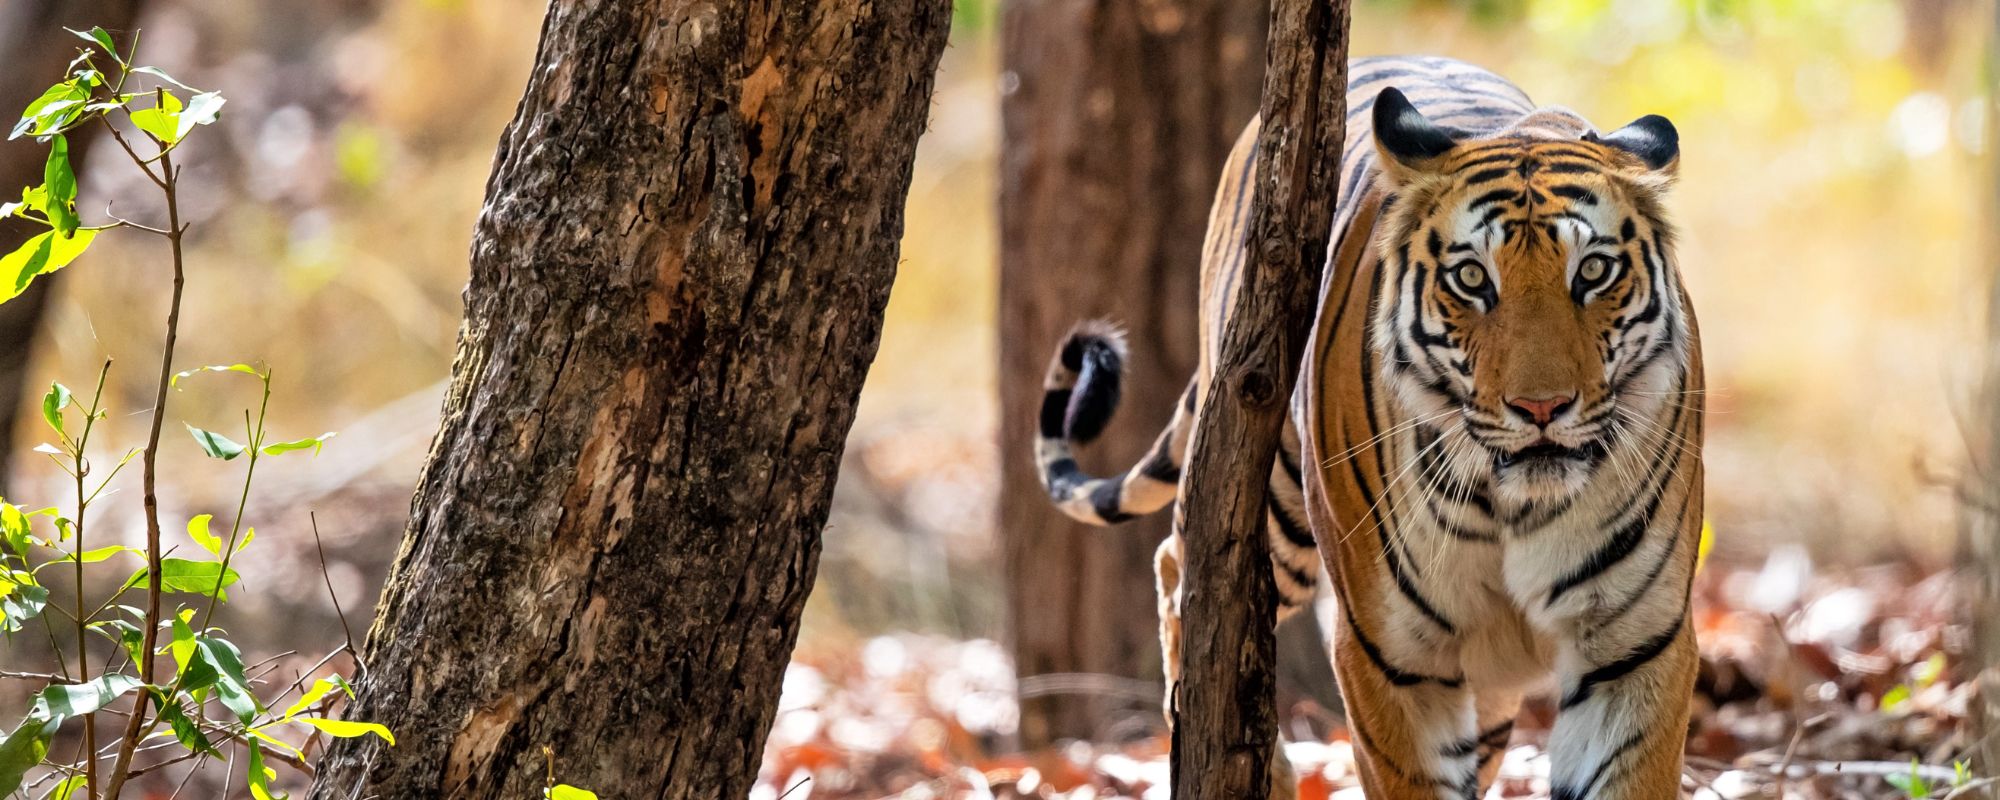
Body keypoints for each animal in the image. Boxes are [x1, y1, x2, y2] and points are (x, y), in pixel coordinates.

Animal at [1034, 55, 1702, 799]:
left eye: (1594, 271)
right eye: (1472, 279)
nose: (1541, 408)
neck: (1514, 508)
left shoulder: (1633, 647)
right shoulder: (1392, 654)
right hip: (1271, 505)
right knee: (1180, 564)